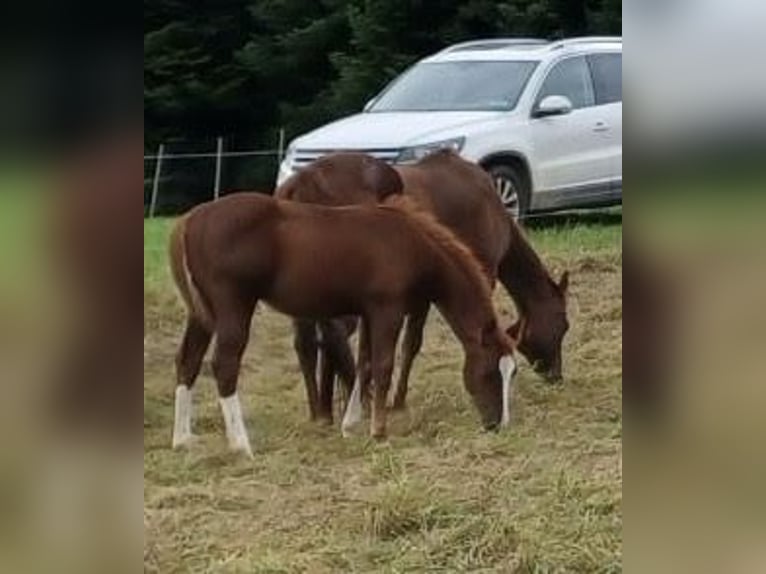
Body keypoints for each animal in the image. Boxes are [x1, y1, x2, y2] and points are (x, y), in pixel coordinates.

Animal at [170, 194, 520, 460]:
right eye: (489, 372)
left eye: (513, 373)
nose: (499, 425)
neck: (411, 244)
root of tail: (190, 220)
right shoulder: (388, 311)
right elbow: (382, 366)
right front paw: (379, 432)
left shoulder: (368, 313)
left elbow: (364, 363)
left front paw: (350, 425)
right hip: (234, 308)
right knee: (224, 365)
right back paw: (241, 445)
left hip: (201, 314)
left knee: (188, 361)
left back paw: (183, 439)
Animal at [276, 151, 568, 426]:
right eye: (563, 326)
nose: (556, 375)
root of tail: (298, 184)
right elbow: (411, 345)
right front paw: (396, 400)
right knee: (334, 335)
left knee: (308, 343)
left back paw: (321, 411)